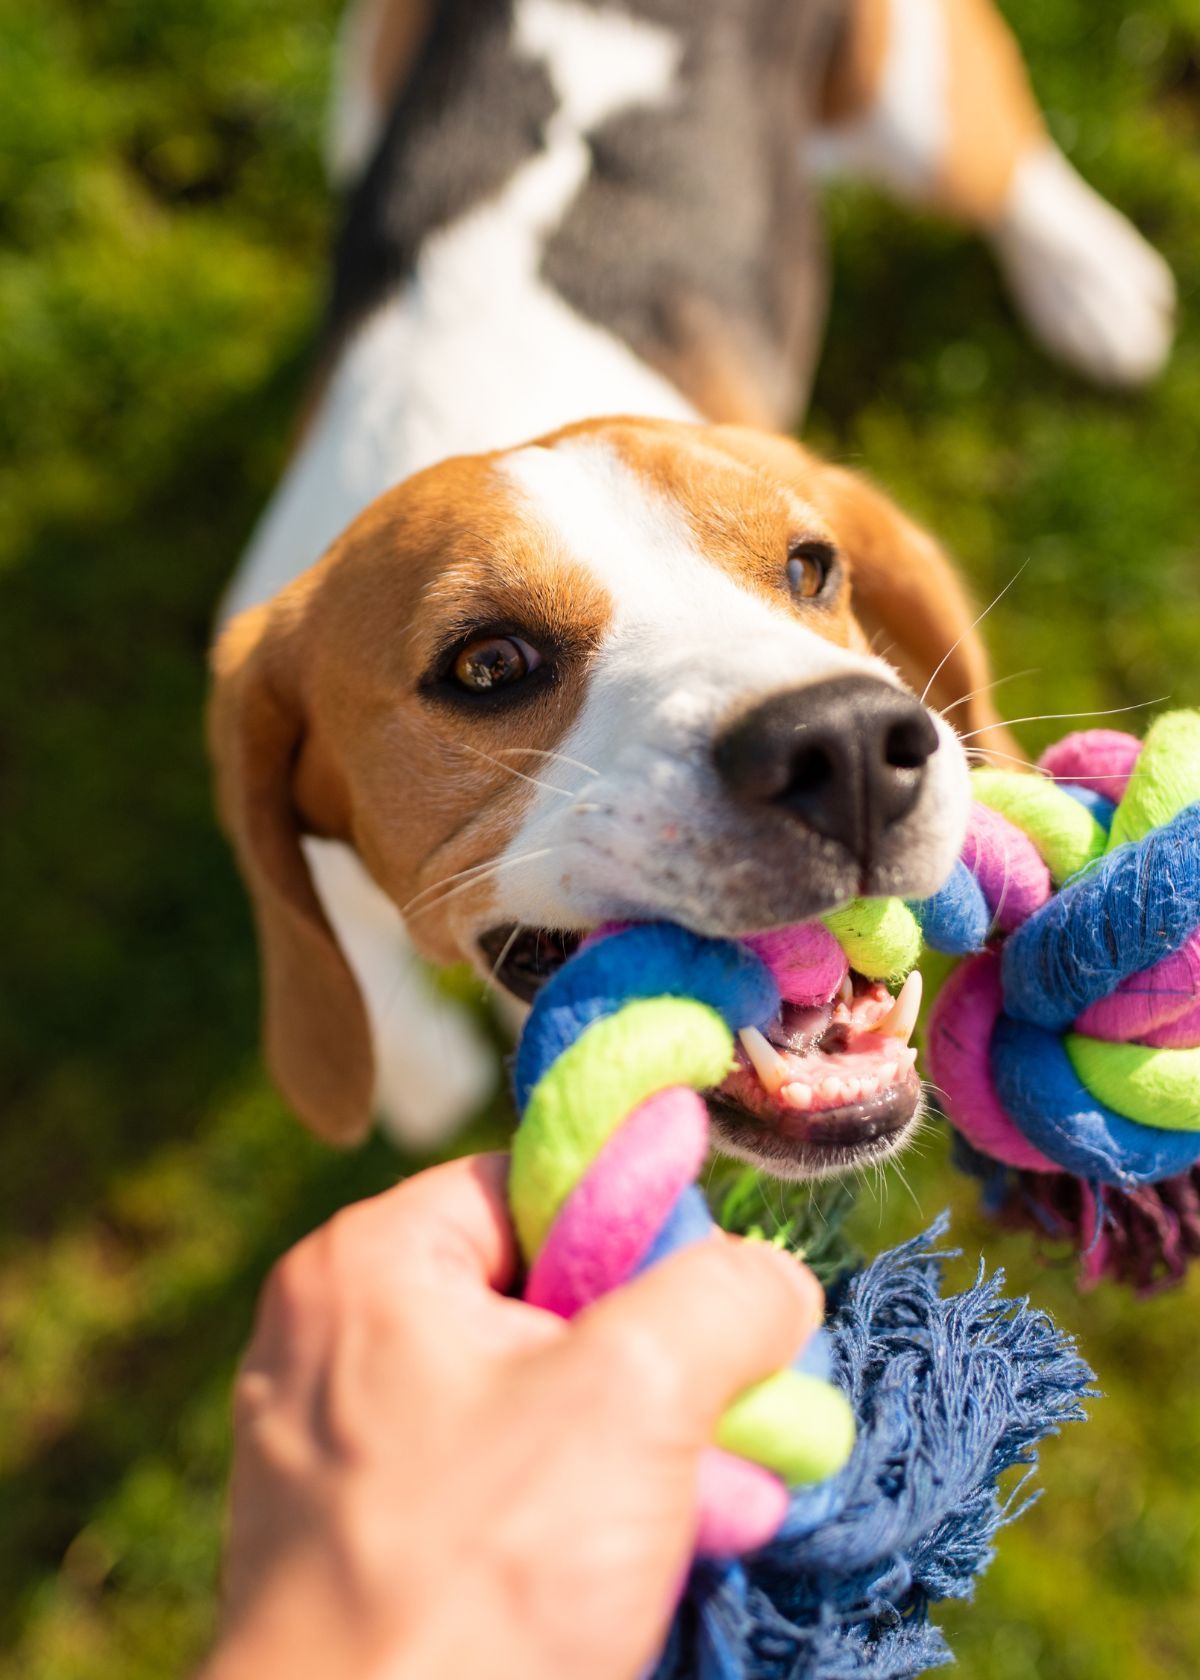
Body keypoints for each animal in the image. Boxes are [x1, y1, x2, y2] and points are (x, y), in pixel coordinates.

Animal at [212, 0, 1169, 1169]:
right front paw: (412, 1064)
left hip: (915, 100)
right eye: (486, 663)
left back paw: (1089, 276)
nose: (848, 746)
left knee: (1005, 159)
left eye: (811, 567)